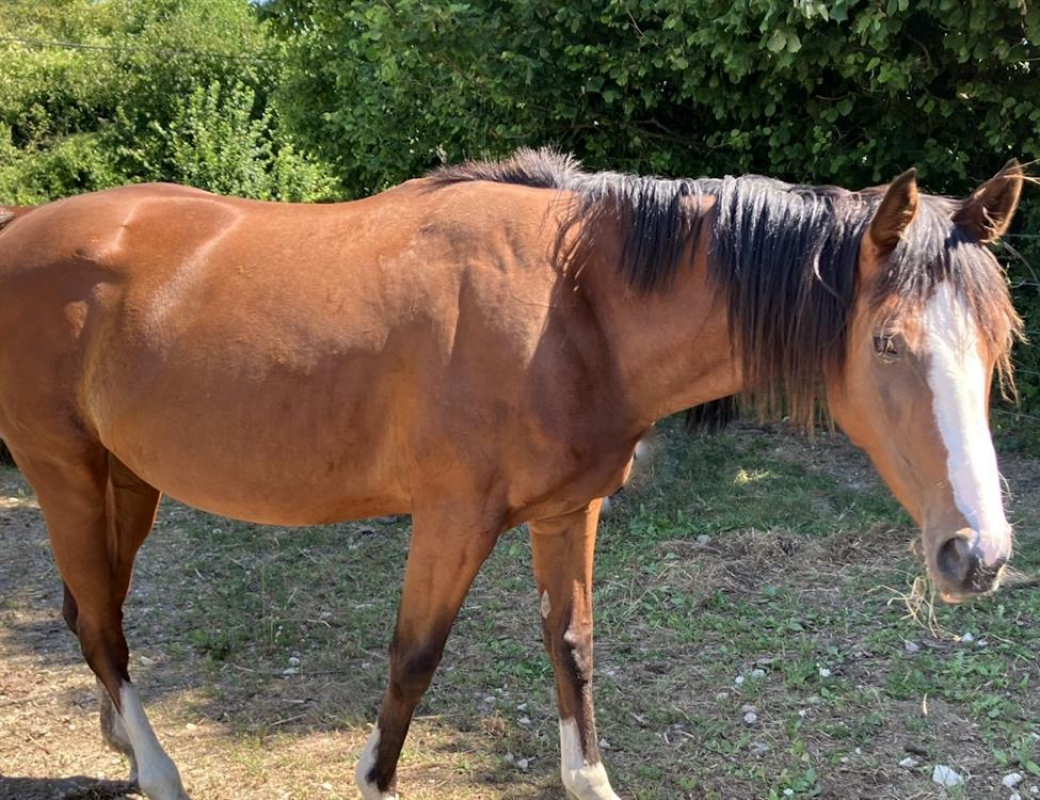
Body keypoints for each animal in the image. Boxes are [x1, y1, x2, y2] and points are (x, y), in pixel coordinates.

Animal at [0, 149, 1024, 800]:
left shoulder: (568, 513)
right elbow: (412, 663)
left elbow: (572, 647)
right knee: (101, 627)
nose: (978, 555)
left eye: (998, 342)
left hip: (126, 479)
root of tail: (21, 228)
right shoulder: (452, 522)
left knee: (92, 615)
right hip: (63, 472)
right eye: (889, 343)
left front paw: (589, 778)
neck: (572, 304)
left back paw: (123, 745)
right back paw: (158, 770)